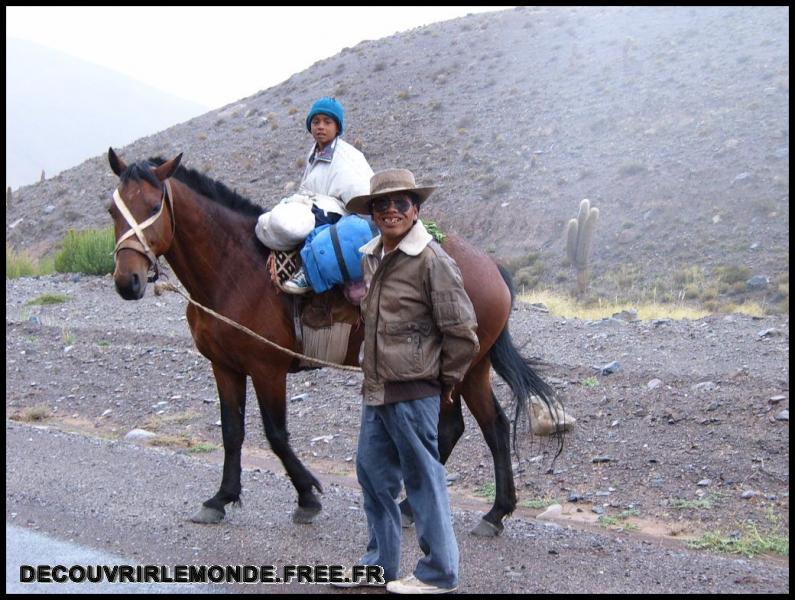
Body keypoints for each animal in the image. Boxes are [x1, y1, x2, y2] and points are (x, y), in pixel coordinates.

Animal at [107, 148, 560, 536]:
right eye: (113, 209)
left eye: (153, 206)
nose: (127, 282)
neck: (232, 271)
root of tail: (490, 266)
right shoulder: (225, 366)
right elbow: (232, 432)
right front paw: (220, 499)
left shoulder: (267, 369)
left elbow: (276, 434)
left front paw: (307, 496)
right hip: (471, 368)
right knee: (485, 426)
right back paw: (473, 511)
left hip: (460, 369)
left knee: (466, 427)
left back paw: (459, 511)